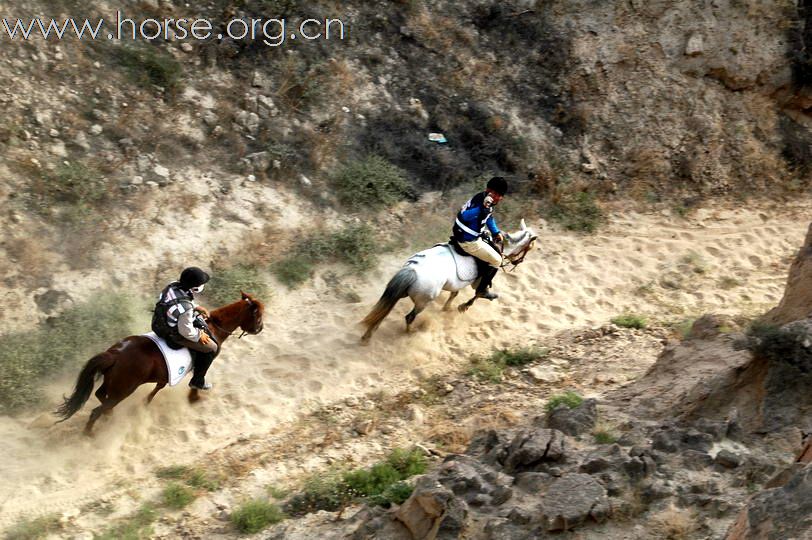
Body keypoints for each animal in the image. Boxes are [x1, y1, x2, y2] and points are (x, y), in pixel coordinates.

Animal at [54, 292, 264, 434]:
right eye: (258, 315)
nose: (259, 329)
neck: (212, 328)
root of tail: (114, 354)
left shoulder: (163, 376)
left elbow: (158, 387)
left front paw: (146, 402)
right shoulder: (206, 357)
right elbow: (198, 377)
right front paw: (195, 396)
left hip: (112, 385)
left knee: (100, 396)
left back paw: (109, 415)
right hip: (122, 391)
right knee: (96, 411)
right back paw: (88, 434)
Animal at [362, 219, 540, 342]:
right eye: (529, 247)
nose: (518, 262)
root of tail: (412, 269)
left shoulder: (458, 284)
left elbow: (454, 294)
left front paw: (447, 308)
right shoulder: (482, 278)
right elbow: (478, 294)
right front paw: (464, 306)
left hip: (400, 294)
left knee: (384, 311)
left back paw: (367, 335)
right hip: (423, 301)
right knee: (409, 317)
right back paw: (410, 333)